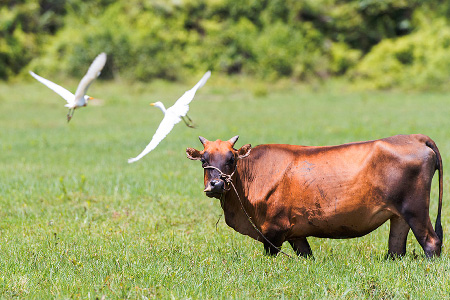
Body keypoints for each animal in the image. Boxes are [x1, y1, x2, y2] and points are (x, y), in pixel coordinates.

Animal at [185, 135, 442, 256]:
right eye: (204, 160)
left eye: (231, 159)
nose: (216, 184)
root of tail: (416, 137)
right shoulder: (296, 234)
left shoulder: (273, 231)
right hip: (399, 216)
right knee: (395, 250)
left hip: (416, 210)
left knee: (432, 242)